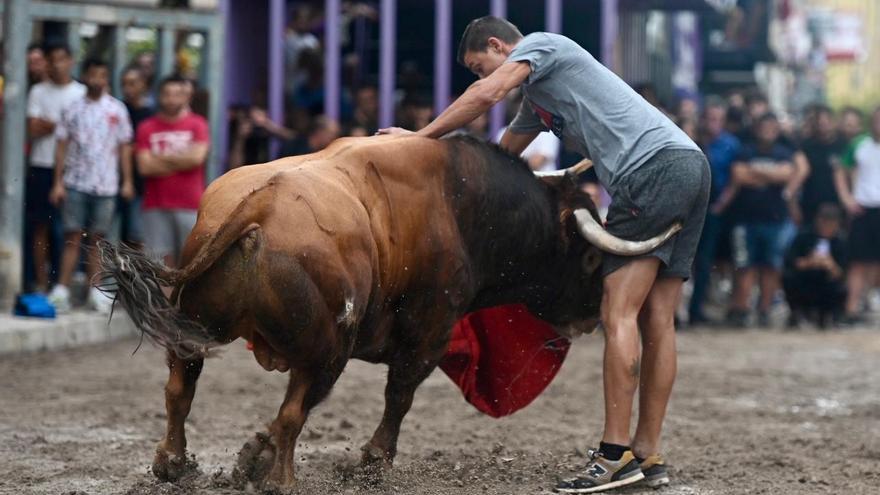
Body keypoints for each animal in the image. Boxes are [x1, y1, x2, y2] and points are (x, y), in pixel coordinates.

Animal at [101, 134, 672, 494]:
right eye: (592, 259)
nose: (593, 314)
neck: (462, 203)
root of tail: (260, 205)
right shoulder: (431, 331)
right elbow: (400, 395)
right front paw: (373, 464)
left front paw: (250, 454)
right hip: (327, 349)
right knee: (294, 410)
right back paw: (282, 481)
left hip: (196, 330)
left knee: (181, 389)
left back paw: (174, 464)